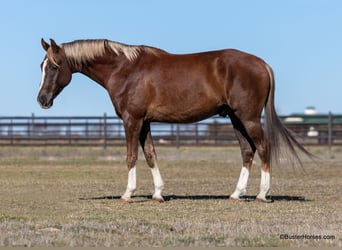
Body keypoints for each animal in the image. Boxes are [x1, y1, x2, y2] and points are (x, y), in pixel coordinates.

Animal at [38, 39, 312, 203]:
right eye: (41, 65)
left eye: (54, 67)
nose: (42, 99)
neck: (125, 69)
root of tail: (262, 64)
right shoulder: (145, 122)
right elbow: (150, 154)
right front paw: (158, 194)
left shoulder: (132, 120)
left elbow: (131, 156)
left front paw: (127, 193)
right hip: (236, 119)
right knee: (248, 151)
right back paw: (236, 194)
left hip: (249, 117)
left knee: (263, 148)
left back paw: (263, 194)